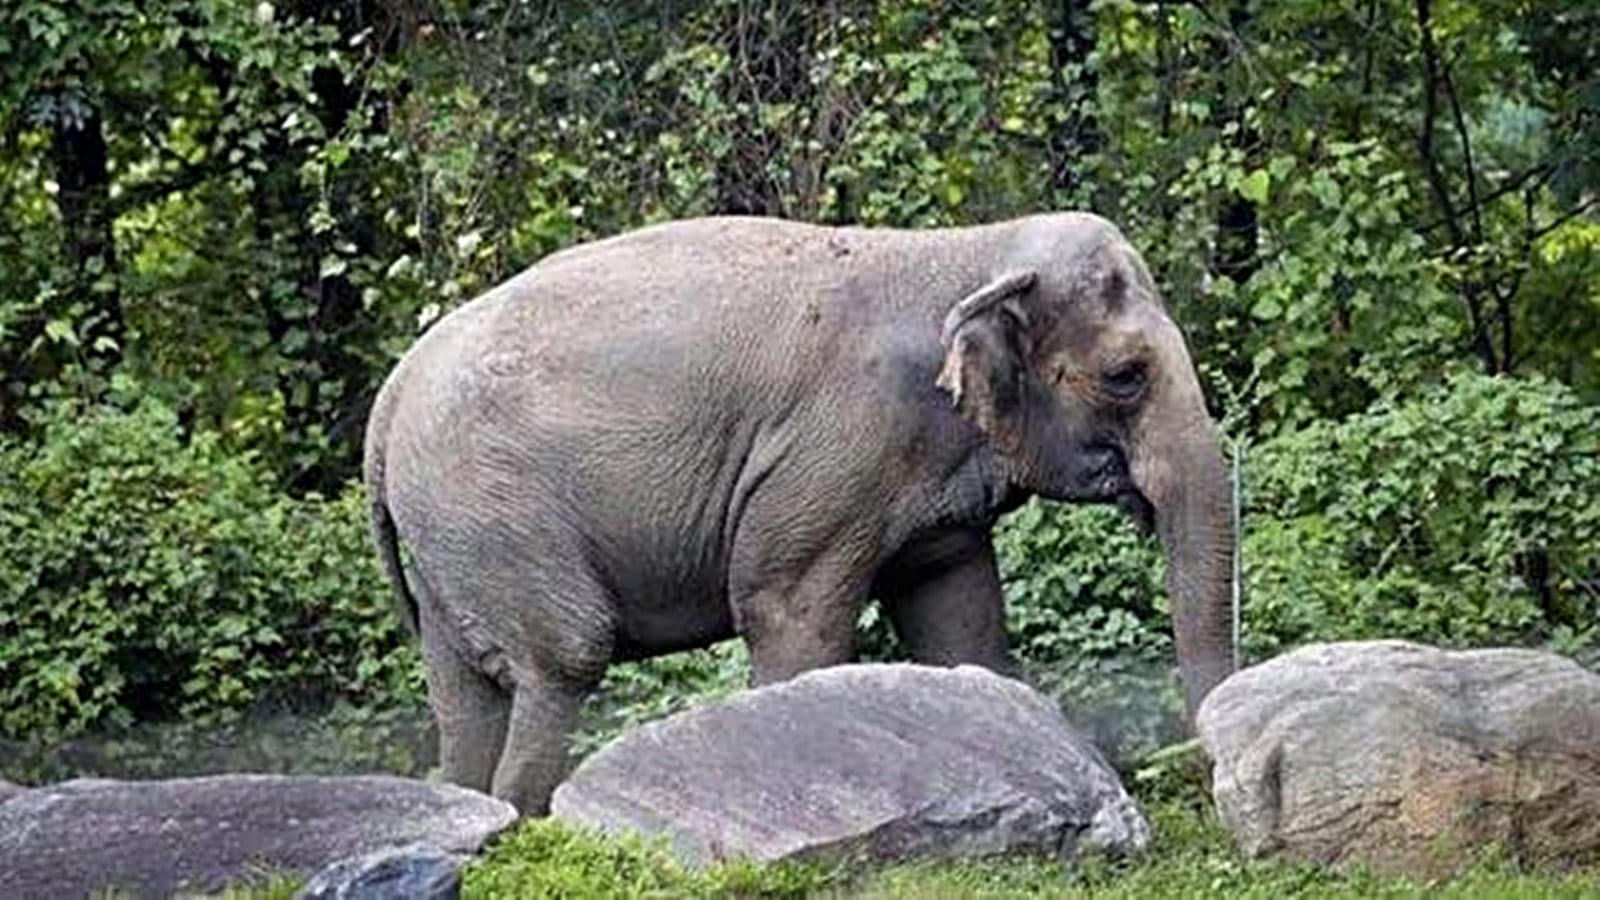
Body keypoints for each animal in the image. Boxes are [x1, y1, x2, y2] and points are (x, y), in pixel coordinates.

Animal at [363, 213, 1236, 814]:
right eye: (1126, 375)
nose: (1200, 776)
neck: (967, 250)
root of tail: (390, 397)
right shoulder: (835, 454)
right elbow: (790, 615)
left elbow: (960, 622)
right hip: (492, 509)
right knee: (564, 658)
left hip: (450, 539)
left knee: (463, 695)